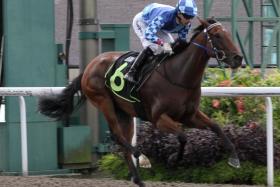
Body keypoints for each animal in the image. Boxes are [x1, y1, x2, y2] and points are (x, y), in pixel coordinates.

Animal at [37, 17, 243, 187]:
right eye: (217, 36)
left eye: (228, 34)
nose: (238, 58)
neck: (179, 75)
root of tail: (89, 66)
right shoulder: (158, 118)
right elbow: (183, 136)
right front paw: (173, 160)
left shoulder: (189, 116)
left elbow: (216, 127)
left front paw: (234, 158)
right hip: (103, 102)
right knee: (117, 136)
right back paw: (142, 157)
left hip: (124, 112)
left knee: (123, 141)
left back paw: (138, 179)